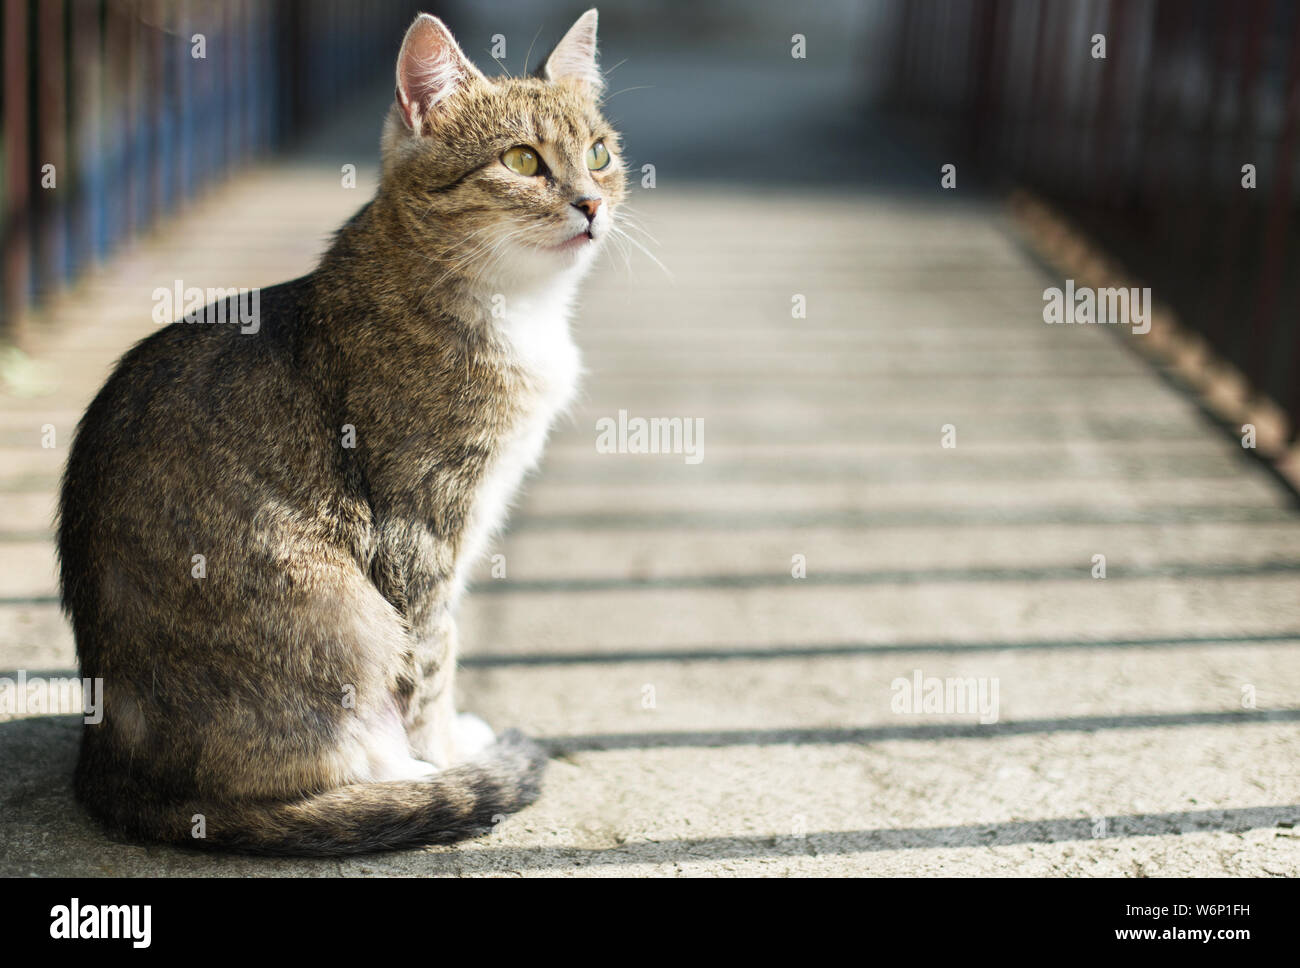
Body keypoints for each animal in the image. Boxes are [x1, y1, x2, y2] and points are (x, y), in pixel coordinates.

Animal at [50, 7, 618, 852]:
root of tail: (109, 766)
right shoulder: (420, 528)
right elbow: (435, 657)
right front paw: (445, 755)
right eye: (522, 159)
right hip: (341, 607)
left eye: (600, 154)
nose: (591, 203)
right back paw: (408, 776)